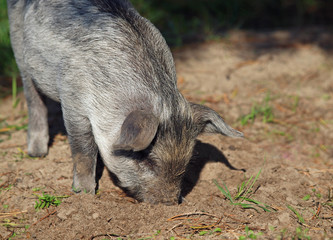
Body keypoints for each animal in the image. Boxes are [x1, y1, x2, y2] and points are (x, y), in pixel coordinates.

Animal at [7, 0, 241, 204]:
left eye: (188, 159)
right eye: (146, 158)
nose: (168, 203)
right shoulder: (73, 100)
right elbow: (83, 149)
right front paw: (84, 195)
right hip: (18, 47)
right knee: (32, 96)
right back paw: (37, 153)